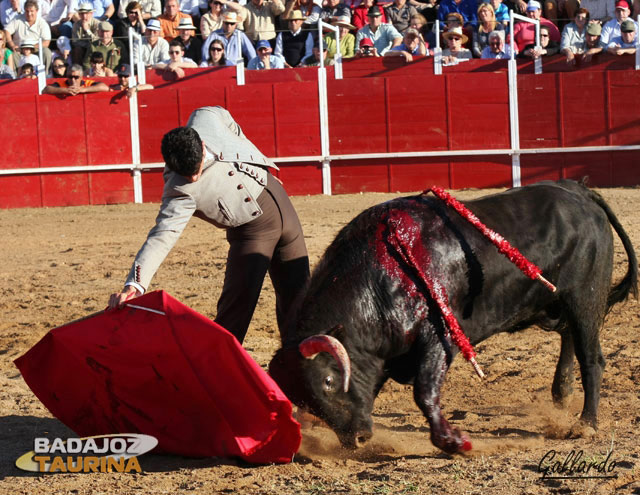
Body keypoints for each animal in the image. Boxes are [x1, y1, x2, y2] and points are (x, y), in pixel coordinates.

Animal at [268, 180, 636, 456]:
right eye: (302, 400)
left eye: (328, 381)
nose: (356, 439)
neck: (379, 279)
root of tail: (579, 191)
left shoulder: (438, 337)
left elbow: (425, 393)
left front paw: (455, 442)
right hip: (557, 302)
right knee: (569, 336)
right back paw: (562, 394)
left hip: (585, 297)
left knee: (592, 357)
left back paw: (586, 424)